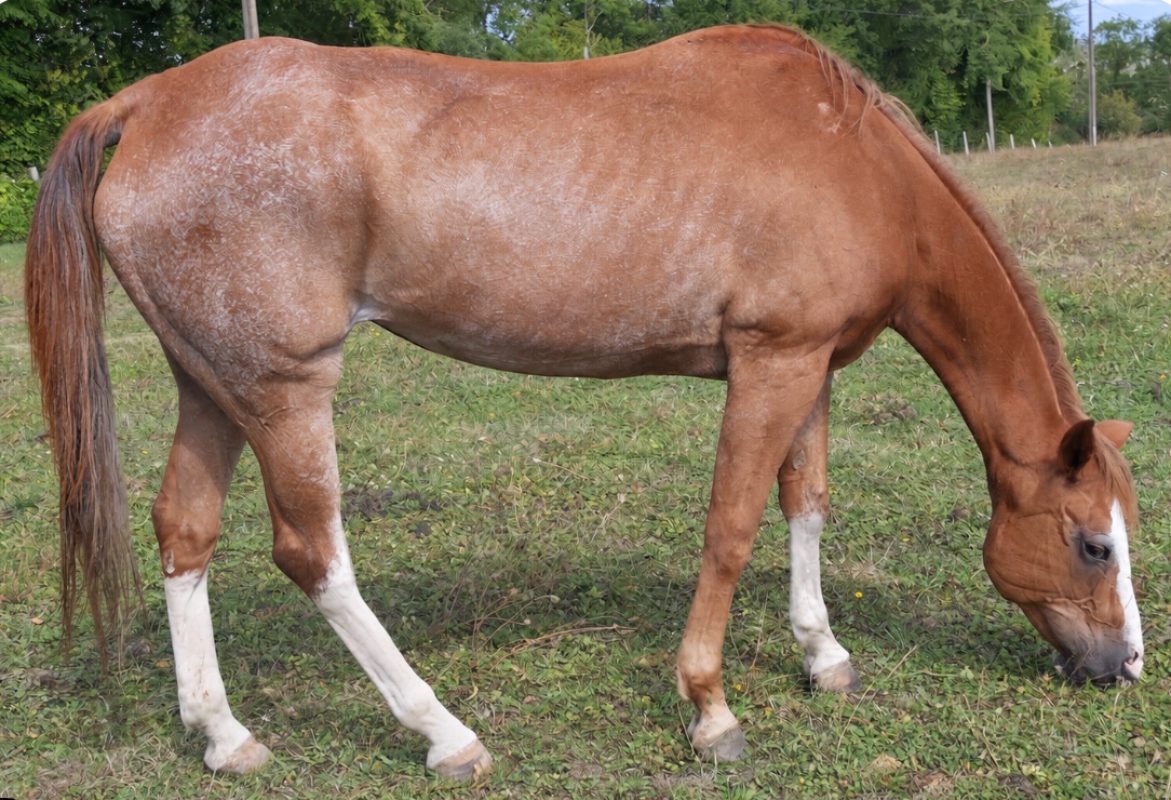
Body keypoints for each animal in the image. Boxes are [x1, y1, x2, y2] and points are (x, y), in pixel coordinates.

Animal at [25, 24, 1143, 779]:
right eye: (1093, 543)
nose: (1125, 665)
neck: (854, 160)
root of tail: (150, 100)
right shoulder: (770, 361)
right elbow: (732, 525)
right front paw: (710, 706)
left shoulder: (810, 364)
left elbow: (805, 505)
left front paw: (822, 654)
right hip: (285, 390)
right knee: (314, 556)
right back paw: (444, 732)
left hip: (211, 384)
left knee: (186, 531)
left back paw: (225, 735)